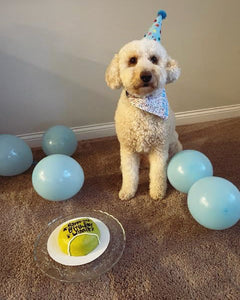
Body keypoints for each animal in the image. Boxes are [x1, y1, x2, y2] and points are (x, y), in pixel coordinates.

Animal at [105, 11, 182, 202]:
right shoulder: (128, 149)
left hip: (173, 144)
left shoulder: (159, 149)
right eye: (132, 60)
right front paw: (127, 192)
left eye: (154, 59)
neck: (144, 105)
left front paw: (157, 192)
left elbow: (158, 174)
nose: (146, 75)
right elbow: (129, 174)